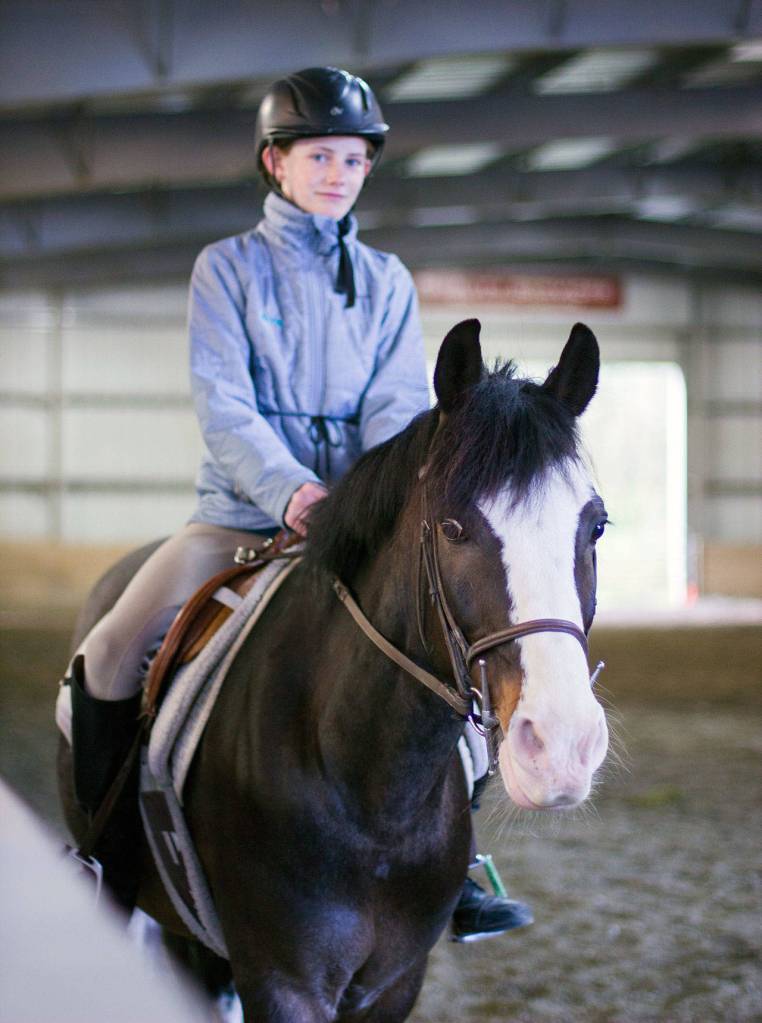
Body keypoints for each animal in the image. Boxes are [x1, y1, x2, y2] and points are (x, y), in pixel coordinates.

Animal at [59, 317, 609, 1022]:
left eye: (596, 526)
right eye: (452, 528)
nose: (563, 747)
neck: (371, 795)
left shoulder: (393, 983)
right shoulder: (284, 982)